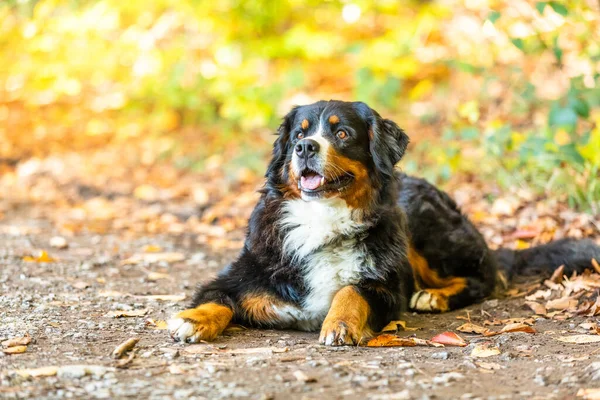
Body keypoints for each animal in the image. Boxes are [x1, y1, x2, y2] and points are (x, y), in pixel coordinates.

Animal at [168, 98, 600, 346]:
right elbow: (216, 297)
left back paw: (435, 296)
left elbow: (352, 291)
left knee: (484, 277)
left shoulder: (386, 289)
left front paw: (340, 323)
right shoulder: (239, 277)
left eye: (342, 133)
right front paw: (192, 320)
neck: (322, 218)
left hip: (426, 229)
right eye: (297, 136)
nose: (305, 147)